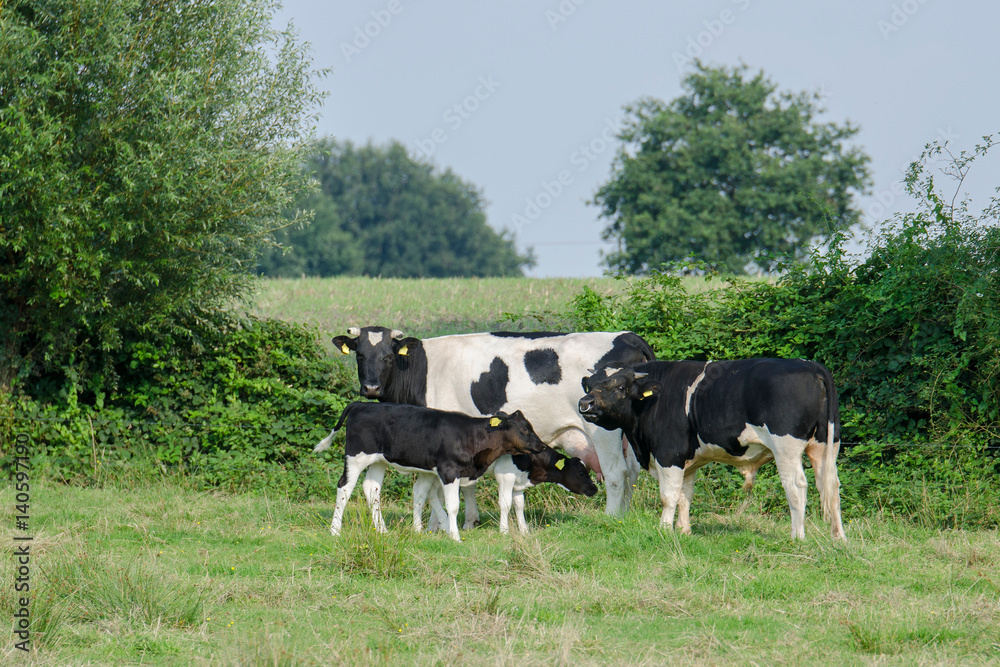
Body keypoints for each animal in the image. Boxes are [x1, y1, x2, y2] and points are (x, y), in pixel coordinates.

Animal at [314, 402, 544, 544]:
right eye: (524, 428)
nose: (541, 446)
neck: (471, 435)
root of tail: (362, 404)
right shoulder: (449, 471)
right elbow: (453, 506)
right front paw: (454, 535)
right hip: (356, 456)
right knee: (344, 487)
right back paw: (335, 530)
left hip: (379, 460)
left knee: (371, 488)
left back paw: (382, 530)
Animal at [332, 326, 652, 520]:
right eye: (360, 355)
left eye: (388, 356)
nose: (371, 387)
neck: (421, 369)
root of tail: (627, 336)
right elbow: (465, 483)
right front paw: (468, 521)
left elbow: (443, 485)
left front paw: (441, 524)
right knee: (632, 473)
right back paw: (625, 518)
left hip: (603, 430)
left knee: (616, 474)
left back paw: (611, 518)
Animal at [580, 360, 844, 544]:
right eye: (590, 386)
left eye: (620, 387)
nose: (585, 404)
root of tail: (810, 365)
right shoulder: (688, 460)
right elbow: (685, 495)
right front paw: (683, 531)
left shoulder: (669, 454)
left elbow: (669, 496)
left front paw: (664, 529)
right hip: (826, 446)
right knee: (830, 486)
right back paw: (838, 538)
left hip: (786, 448)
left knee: (796, 486)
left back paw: (797, 536)